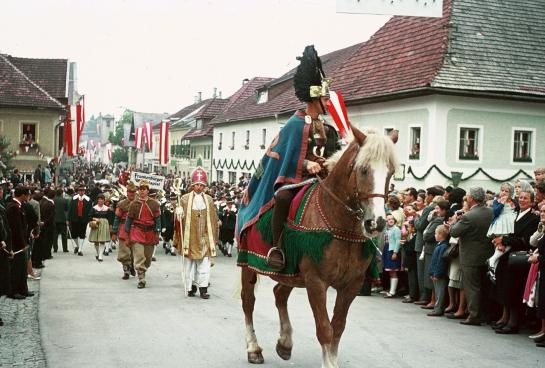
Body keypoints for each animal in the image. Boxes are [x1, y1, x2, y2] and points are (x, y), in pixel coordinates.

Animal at [240, 126, 398, 366]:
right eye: (363, 170)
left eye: (390, 172)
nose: (377, 223)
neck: (340, 223)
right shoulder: (316, 281)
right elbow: (325, 329)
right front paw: (328, 362)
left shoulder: (351, 284)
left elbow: (338, 327)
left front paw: (331, 358)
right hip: (248, 264)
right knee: (248, 301)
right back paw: (253, 349)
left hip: (292, 273)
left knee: (279, 294)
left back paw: (285, 343)